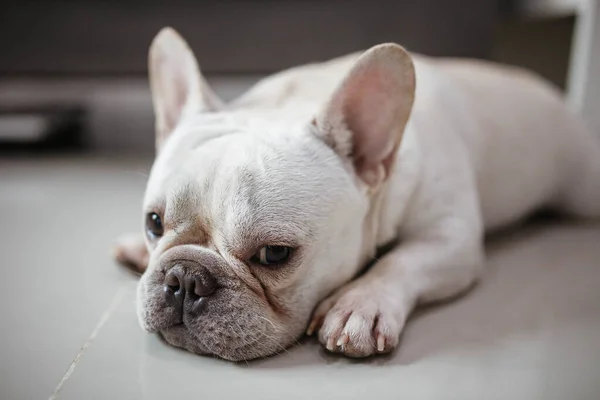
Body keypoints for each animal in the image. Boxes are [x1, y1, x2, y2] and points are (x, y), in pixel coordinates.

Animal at [113, 26, 600, 360]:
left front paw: (359, 305)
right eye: (153, 223)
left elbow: (401, 261)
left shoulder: (453, 237)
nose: (184, 279)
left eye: (274, 254)